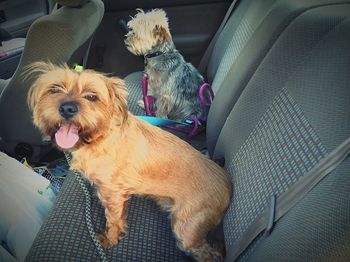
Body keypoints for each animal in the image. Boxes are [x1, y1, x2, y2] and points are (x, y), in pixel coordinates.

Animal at [27, 62, 232, 260]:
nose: (67, 108)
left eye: (92, 97)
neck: (100, 137)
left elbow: (113, 220)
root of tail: (228, 185)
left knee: (209, 253)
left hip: (186, 228)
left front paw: (110, 239)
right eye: (54, 89)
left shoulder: (114, 195)